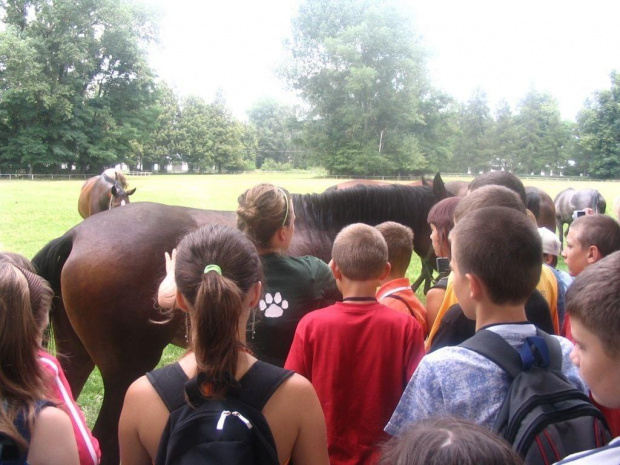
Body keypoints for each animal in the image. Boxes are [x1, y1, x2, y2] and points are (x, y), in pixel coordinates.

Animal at [32, 175, 446, 464]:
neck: (323, 228)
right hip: (125, 374)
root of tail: (76, 236)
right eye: (442, 220)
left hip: (76, 359)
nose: (444, 271)